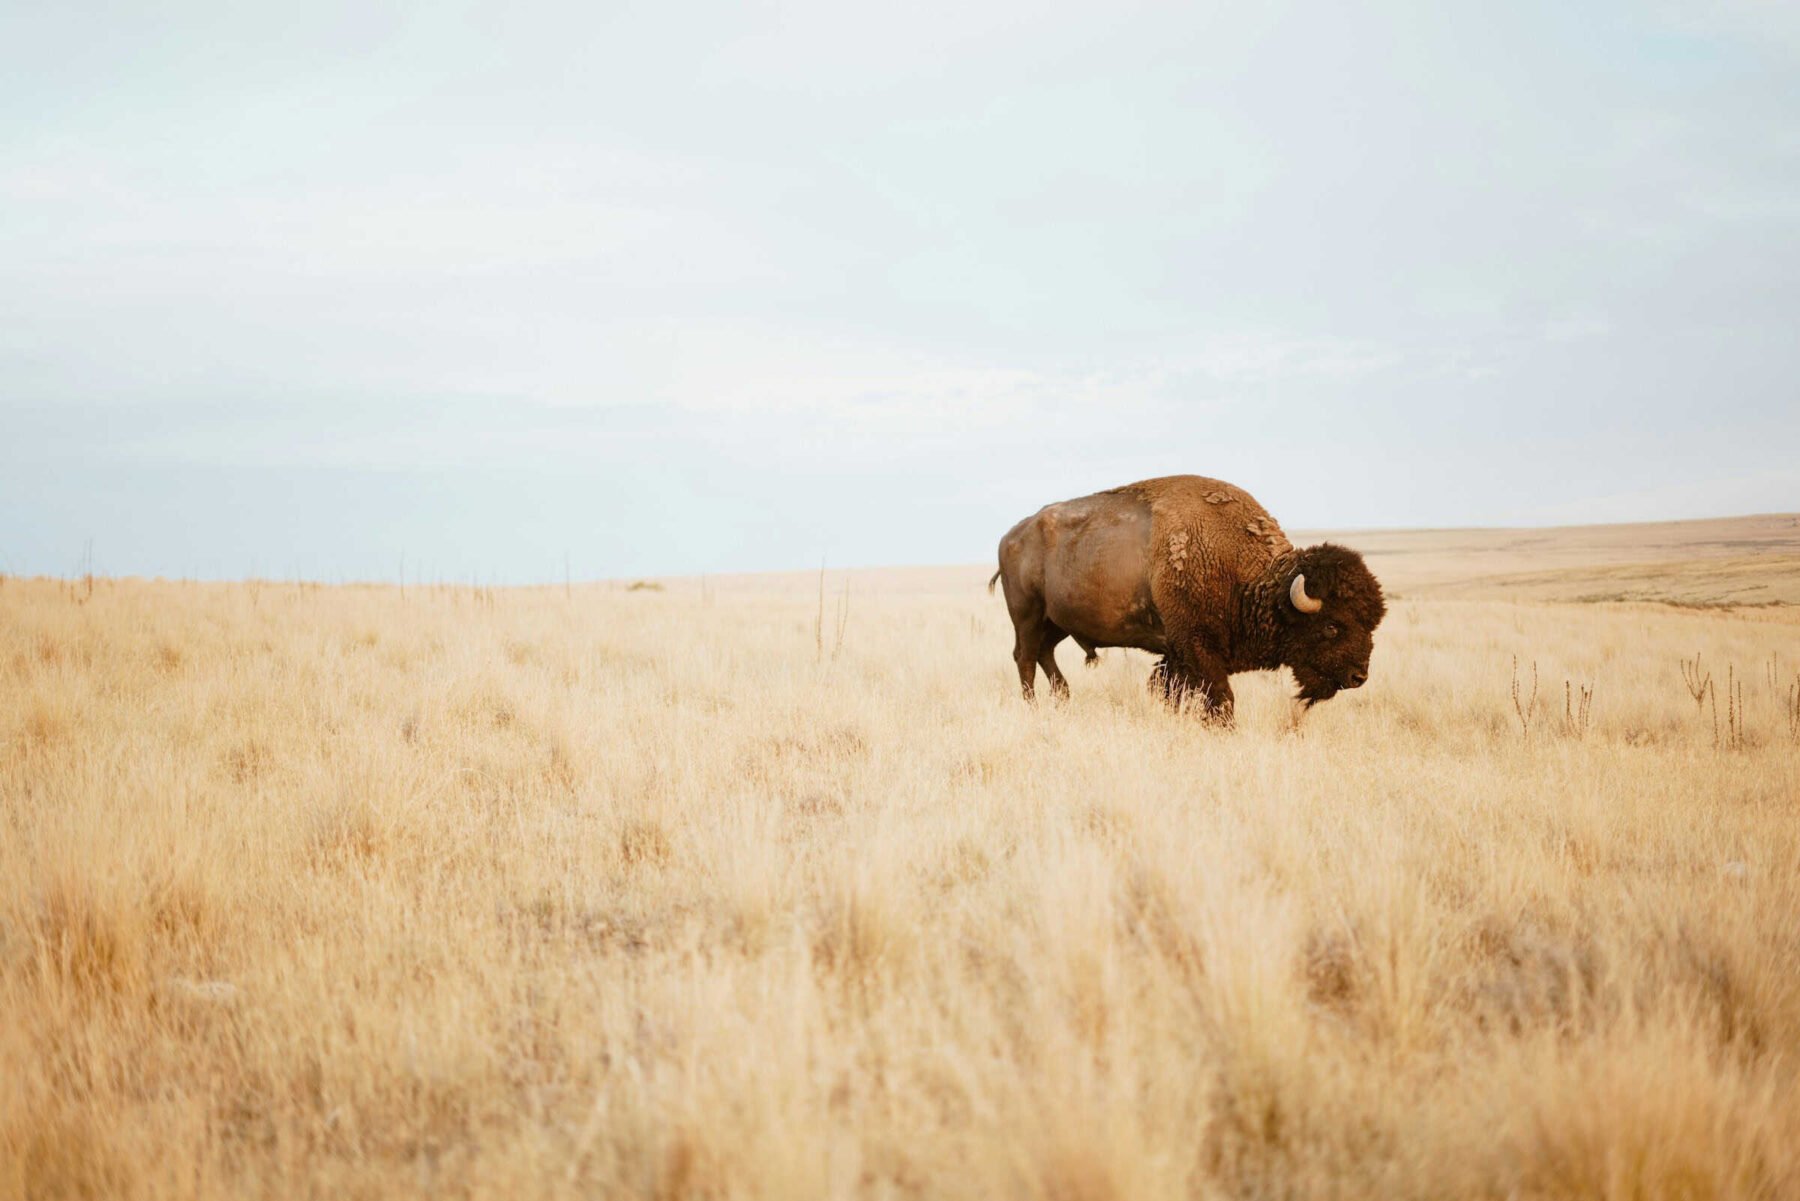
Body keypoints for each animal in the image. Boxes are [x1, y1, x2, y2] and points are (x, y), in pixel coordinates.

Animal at [989, 475, 1385, 720]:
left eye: (1371, 624)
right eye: (1332, 626)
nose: (1358, 676)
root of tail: (1010, 536)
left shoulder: (1177, 654)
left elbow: (1171, 690)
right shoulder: (1197, 647)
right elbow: (1220, 698)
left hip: (1057, 622)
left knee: (1044, 654)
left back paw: (1063, 698)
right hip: (1027, 615)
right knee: (1025, 658)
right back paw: (1033, 706)